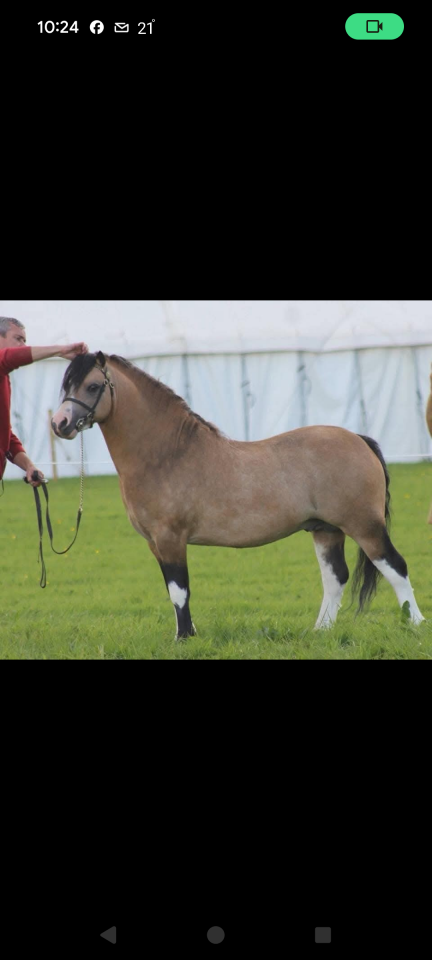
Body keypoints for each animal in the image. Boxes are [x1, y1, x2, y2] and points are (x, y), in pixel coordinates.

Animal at [51, 351, 425, 639]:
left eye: (93, 386)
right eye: (65, 385)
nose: (60, 424)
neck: (168, 454)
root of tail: (359, 439)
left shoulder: (171, 539)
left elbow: (180, 590)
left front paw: (184, 639)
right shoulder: (155, 543)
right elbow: (173, 591)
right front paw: (186, 634)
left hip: (364, 526)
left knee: (396, 567)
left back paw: (416, 625)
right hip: (325, 530)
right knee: (336, 579)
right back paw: (320, 632)